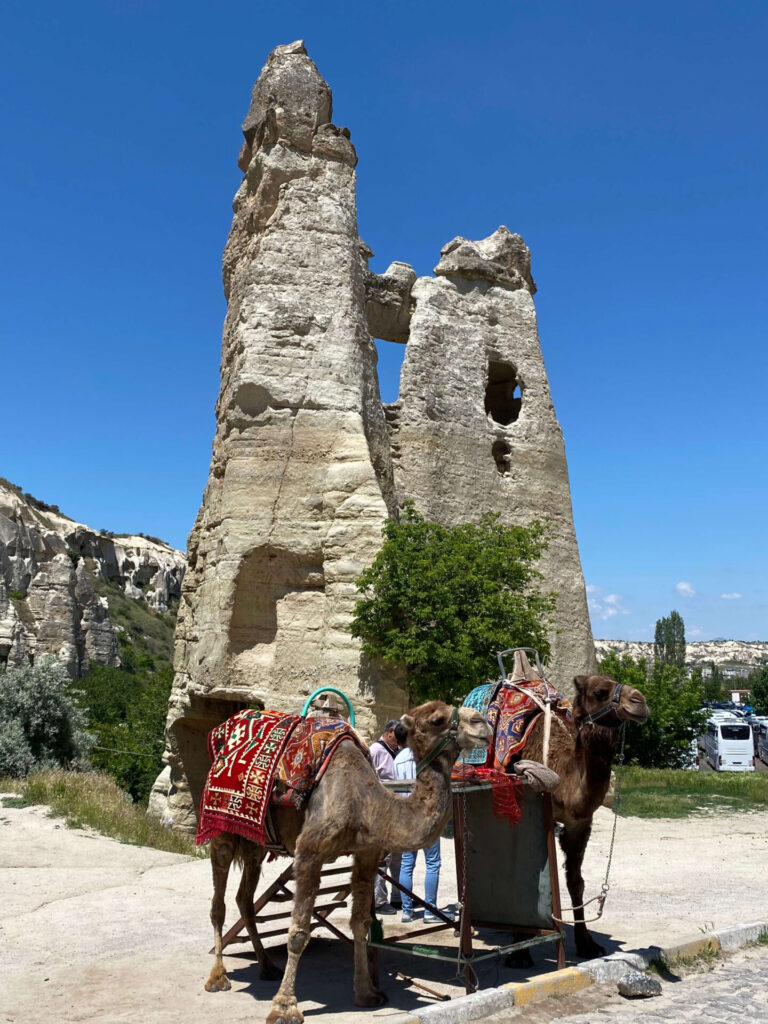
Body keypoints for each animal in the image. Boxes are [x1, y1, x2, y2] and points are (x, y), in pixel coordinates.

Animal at [204, 700, 493, 1024]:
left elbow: (360, 924)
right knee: (219, 902)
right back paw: (218, 977)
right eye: (437, 720)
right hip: (220, 828)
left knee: (245, 899)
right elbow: (298, 931)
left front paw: (367, 994)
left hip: (255, 841)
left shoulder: (366, 853)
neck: (367, 805)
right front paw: (284, 1008)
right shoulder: (309, 852)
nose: (482, 722)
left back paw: (267, 967)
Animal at [518, 671, 651, 958]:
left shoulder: (579, 823)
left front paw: (587, 943)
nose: (640, 701)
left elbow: (576, 881)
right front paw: (518, 954)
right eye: (600, 692)